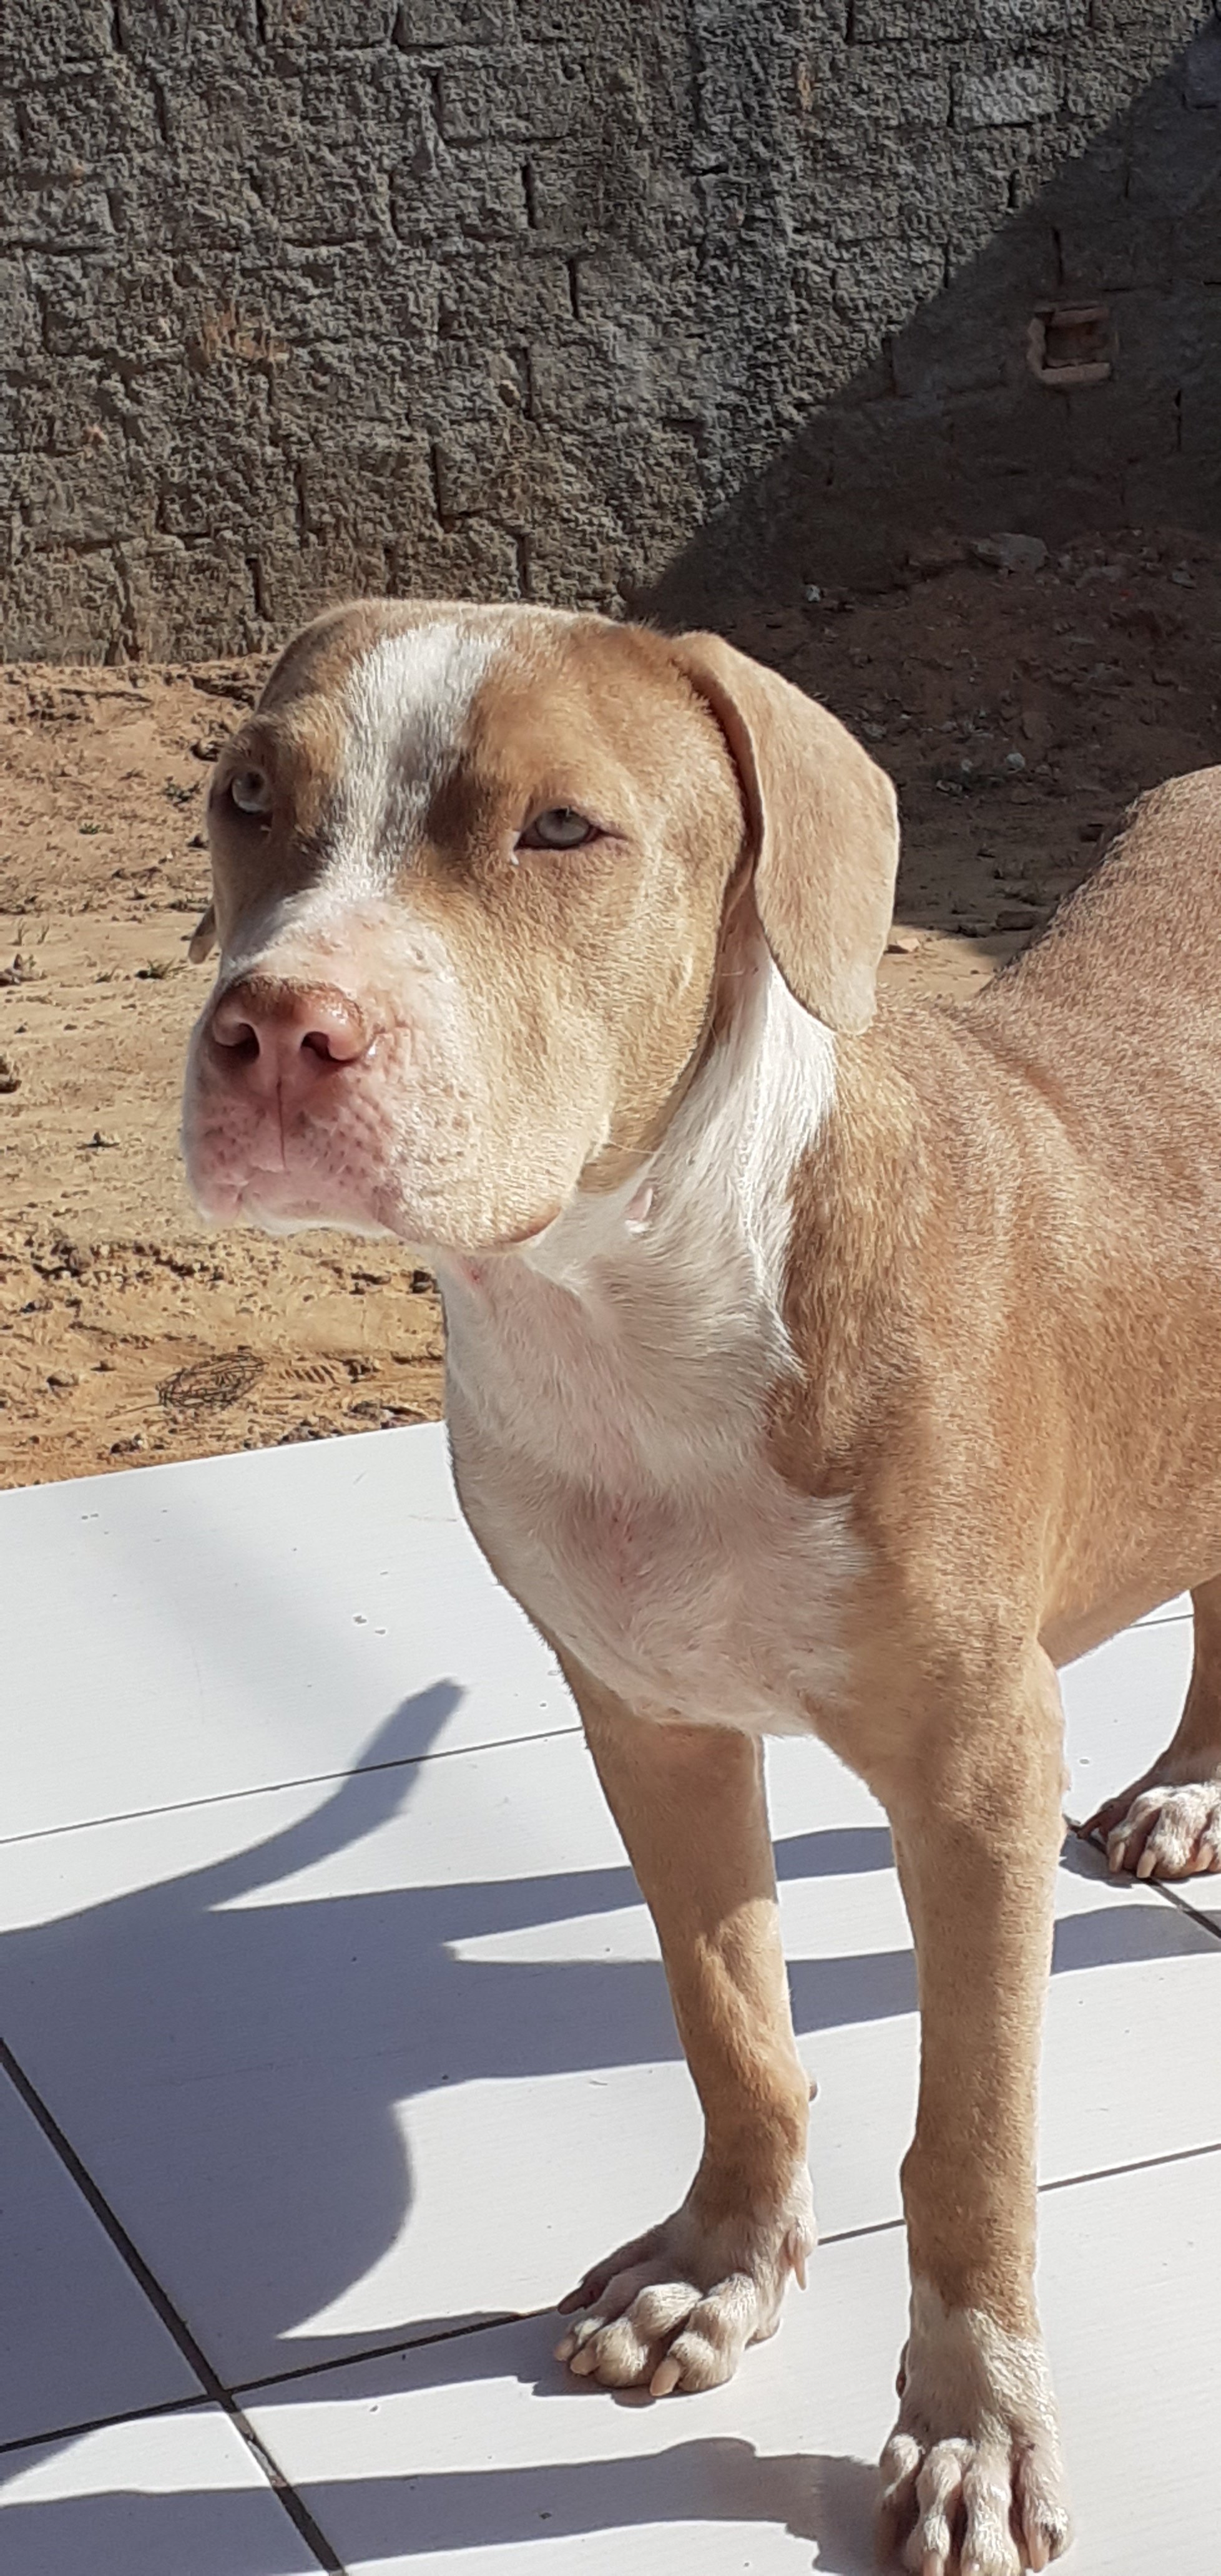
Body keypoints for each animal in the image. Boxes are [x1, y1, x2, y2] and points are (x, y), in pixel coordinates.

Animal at [182, 598, 1221, 2575]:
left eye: (561, 830)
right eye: (247, 795)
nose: (273, 1028)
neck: (628, 1311)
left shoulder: (976, 1780)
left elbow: (968, 2144)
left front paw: (971, 2423)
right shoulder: (645, 1723)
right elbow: (729, 2020)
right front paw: (720, 2269)